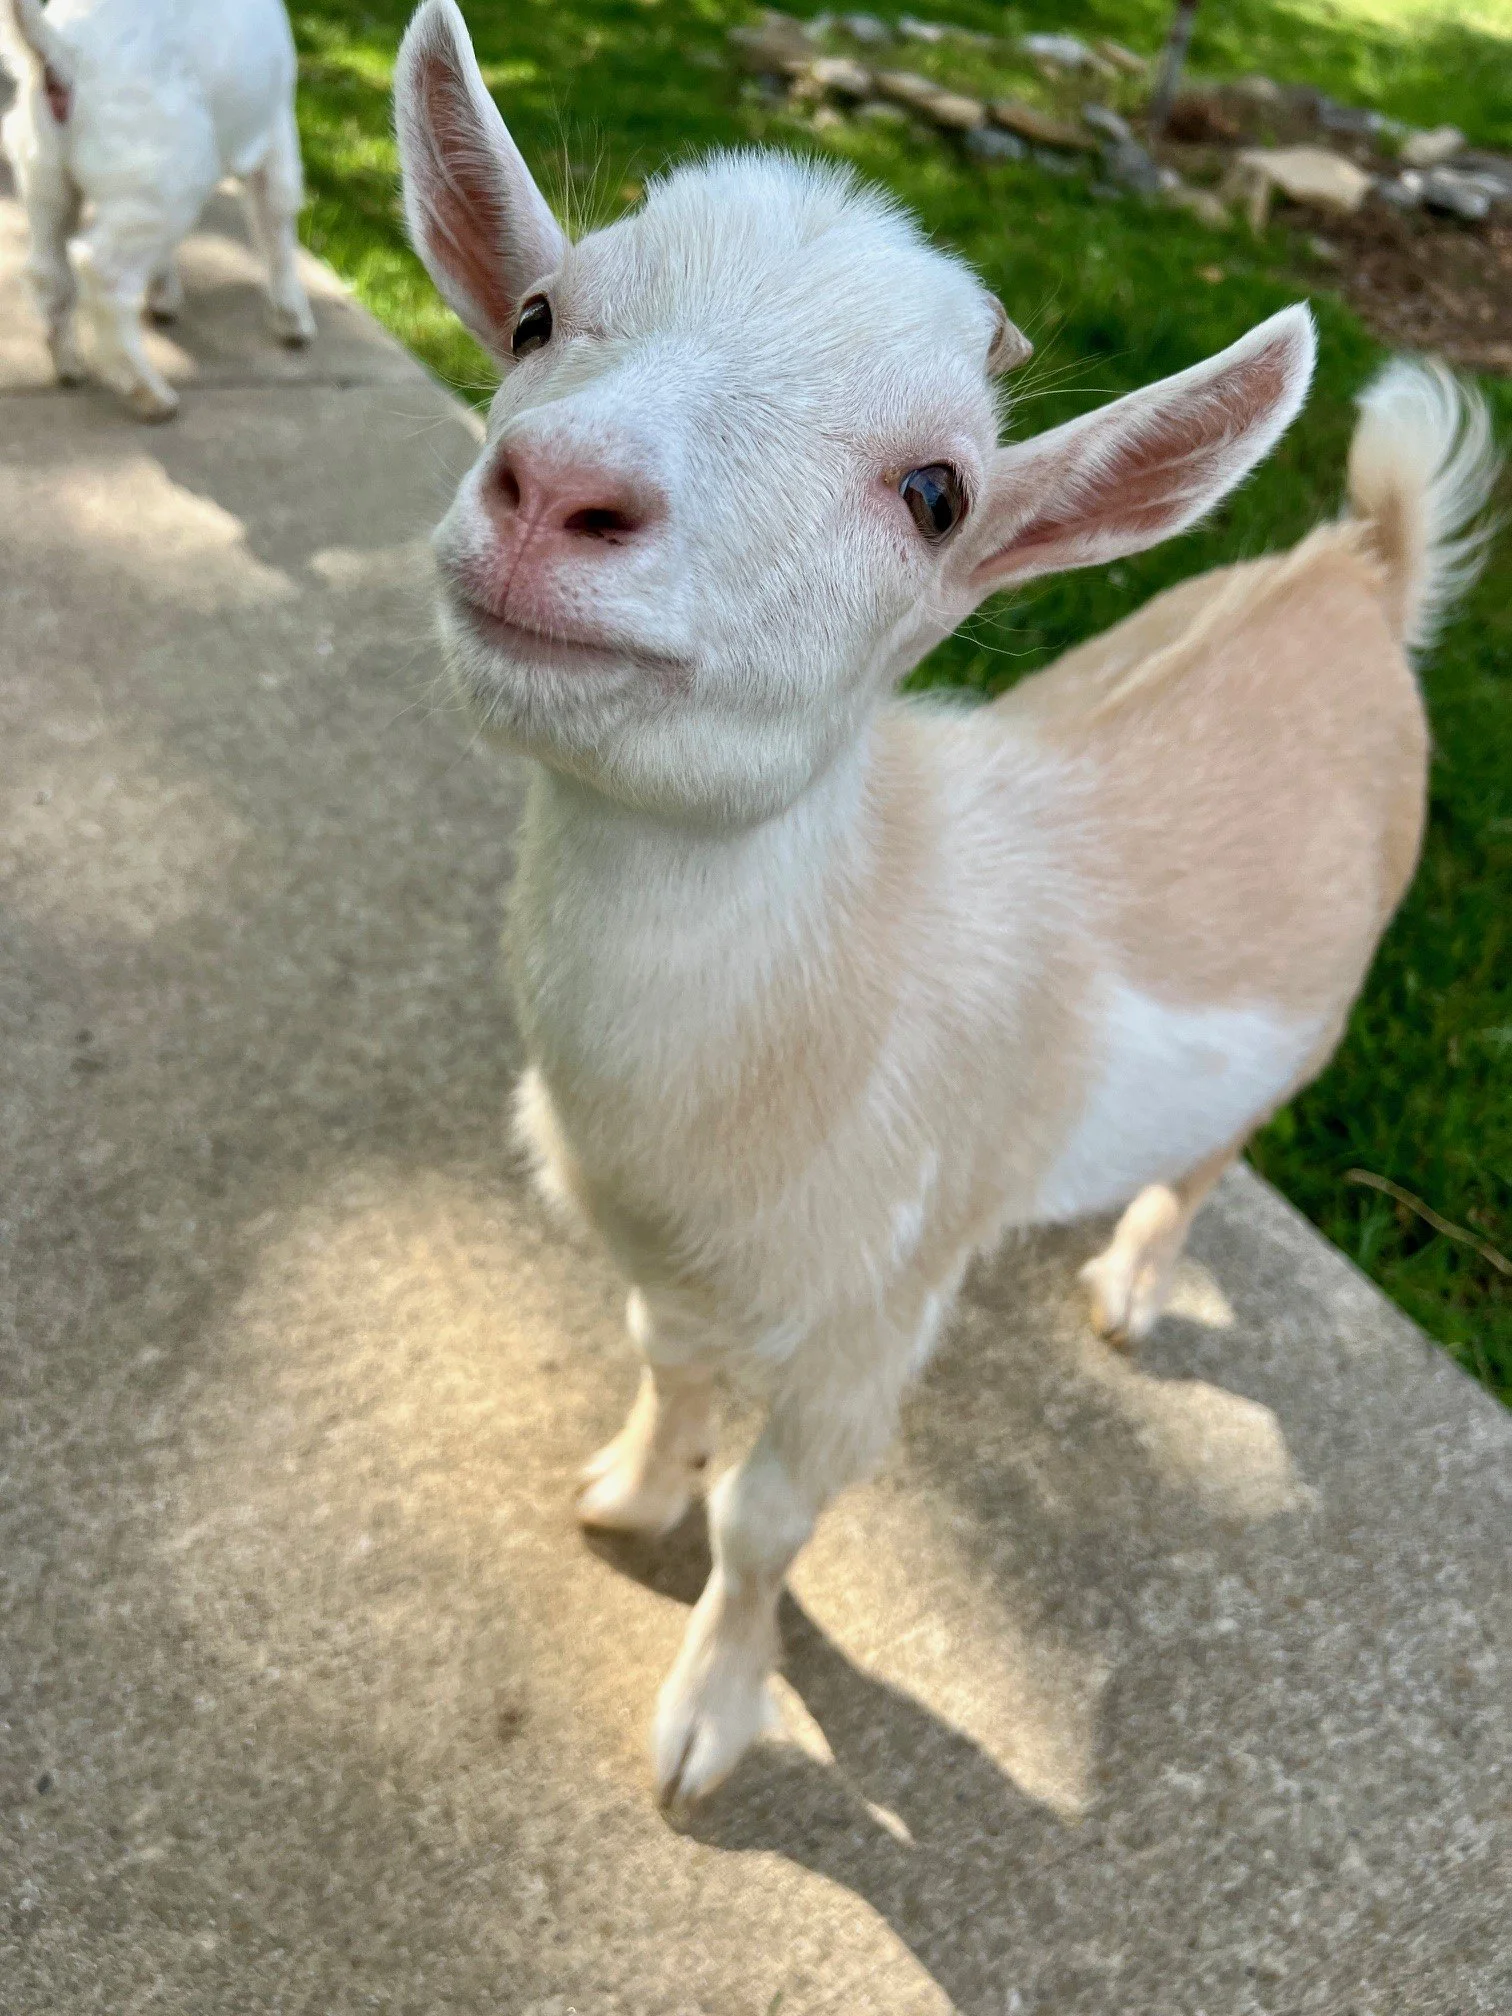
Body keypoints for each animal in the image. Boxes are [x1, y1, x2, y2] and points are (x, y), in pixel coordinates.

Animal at [1, 0, 315, 419]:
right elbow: (277, 224)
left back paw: (69, 364)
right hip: (165, 175)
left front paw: (164, 296)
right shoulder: (276, 133)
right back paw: (148, 391)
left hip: (47, 180)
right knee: (105, 274)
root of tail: (63, 53)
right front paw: (293, 321)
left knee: (47, 271)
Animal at [394, 0, 1498, 1808]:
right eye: (540, 318)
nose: (555, 491)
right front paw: (628, 1493)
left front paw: (710, 1724)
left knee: (1212, 1152)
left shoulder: (876, 1305)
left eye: (936, 494)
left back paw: (1130, 1288)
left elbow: (768, 1521)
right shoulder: (662, 1254)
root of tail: (1359, 569)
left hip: (1324, 1007)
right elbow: (665, 1365)